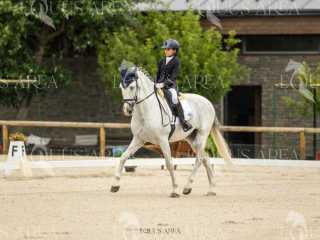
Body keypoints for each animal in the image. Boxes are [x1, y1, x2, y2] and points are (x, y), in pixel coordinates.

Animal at [110, 65, 232, 197]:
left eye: (132, 87)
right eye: (121, 87)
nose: (127, 110)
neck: (145, 111)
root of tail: (208, 102)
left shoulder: (163, 140)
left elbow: (169, 163)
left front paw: (174, 190)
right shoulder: (139, 139)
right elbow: (123, 157)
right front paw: (115, 186)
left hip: (202, 135)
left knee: (199, 159)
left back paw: (187, 187)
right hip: (191, 138)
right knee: (205, 158)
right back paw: (210, 189)